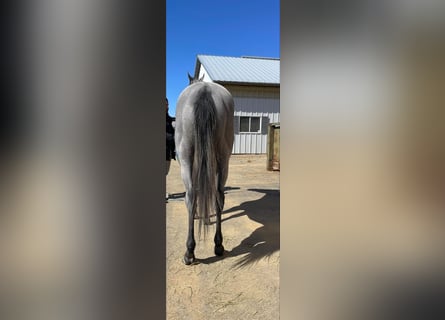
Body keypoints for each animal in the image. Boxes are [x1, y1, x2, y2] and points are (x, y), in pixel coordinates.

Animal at [174, 75, 234, 264]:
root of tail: (204, 90)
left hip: (185, 157)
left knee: (191, 196)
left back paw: (189, 252)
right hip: (223, 158)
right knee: (218, 195)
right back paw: (218, 245)